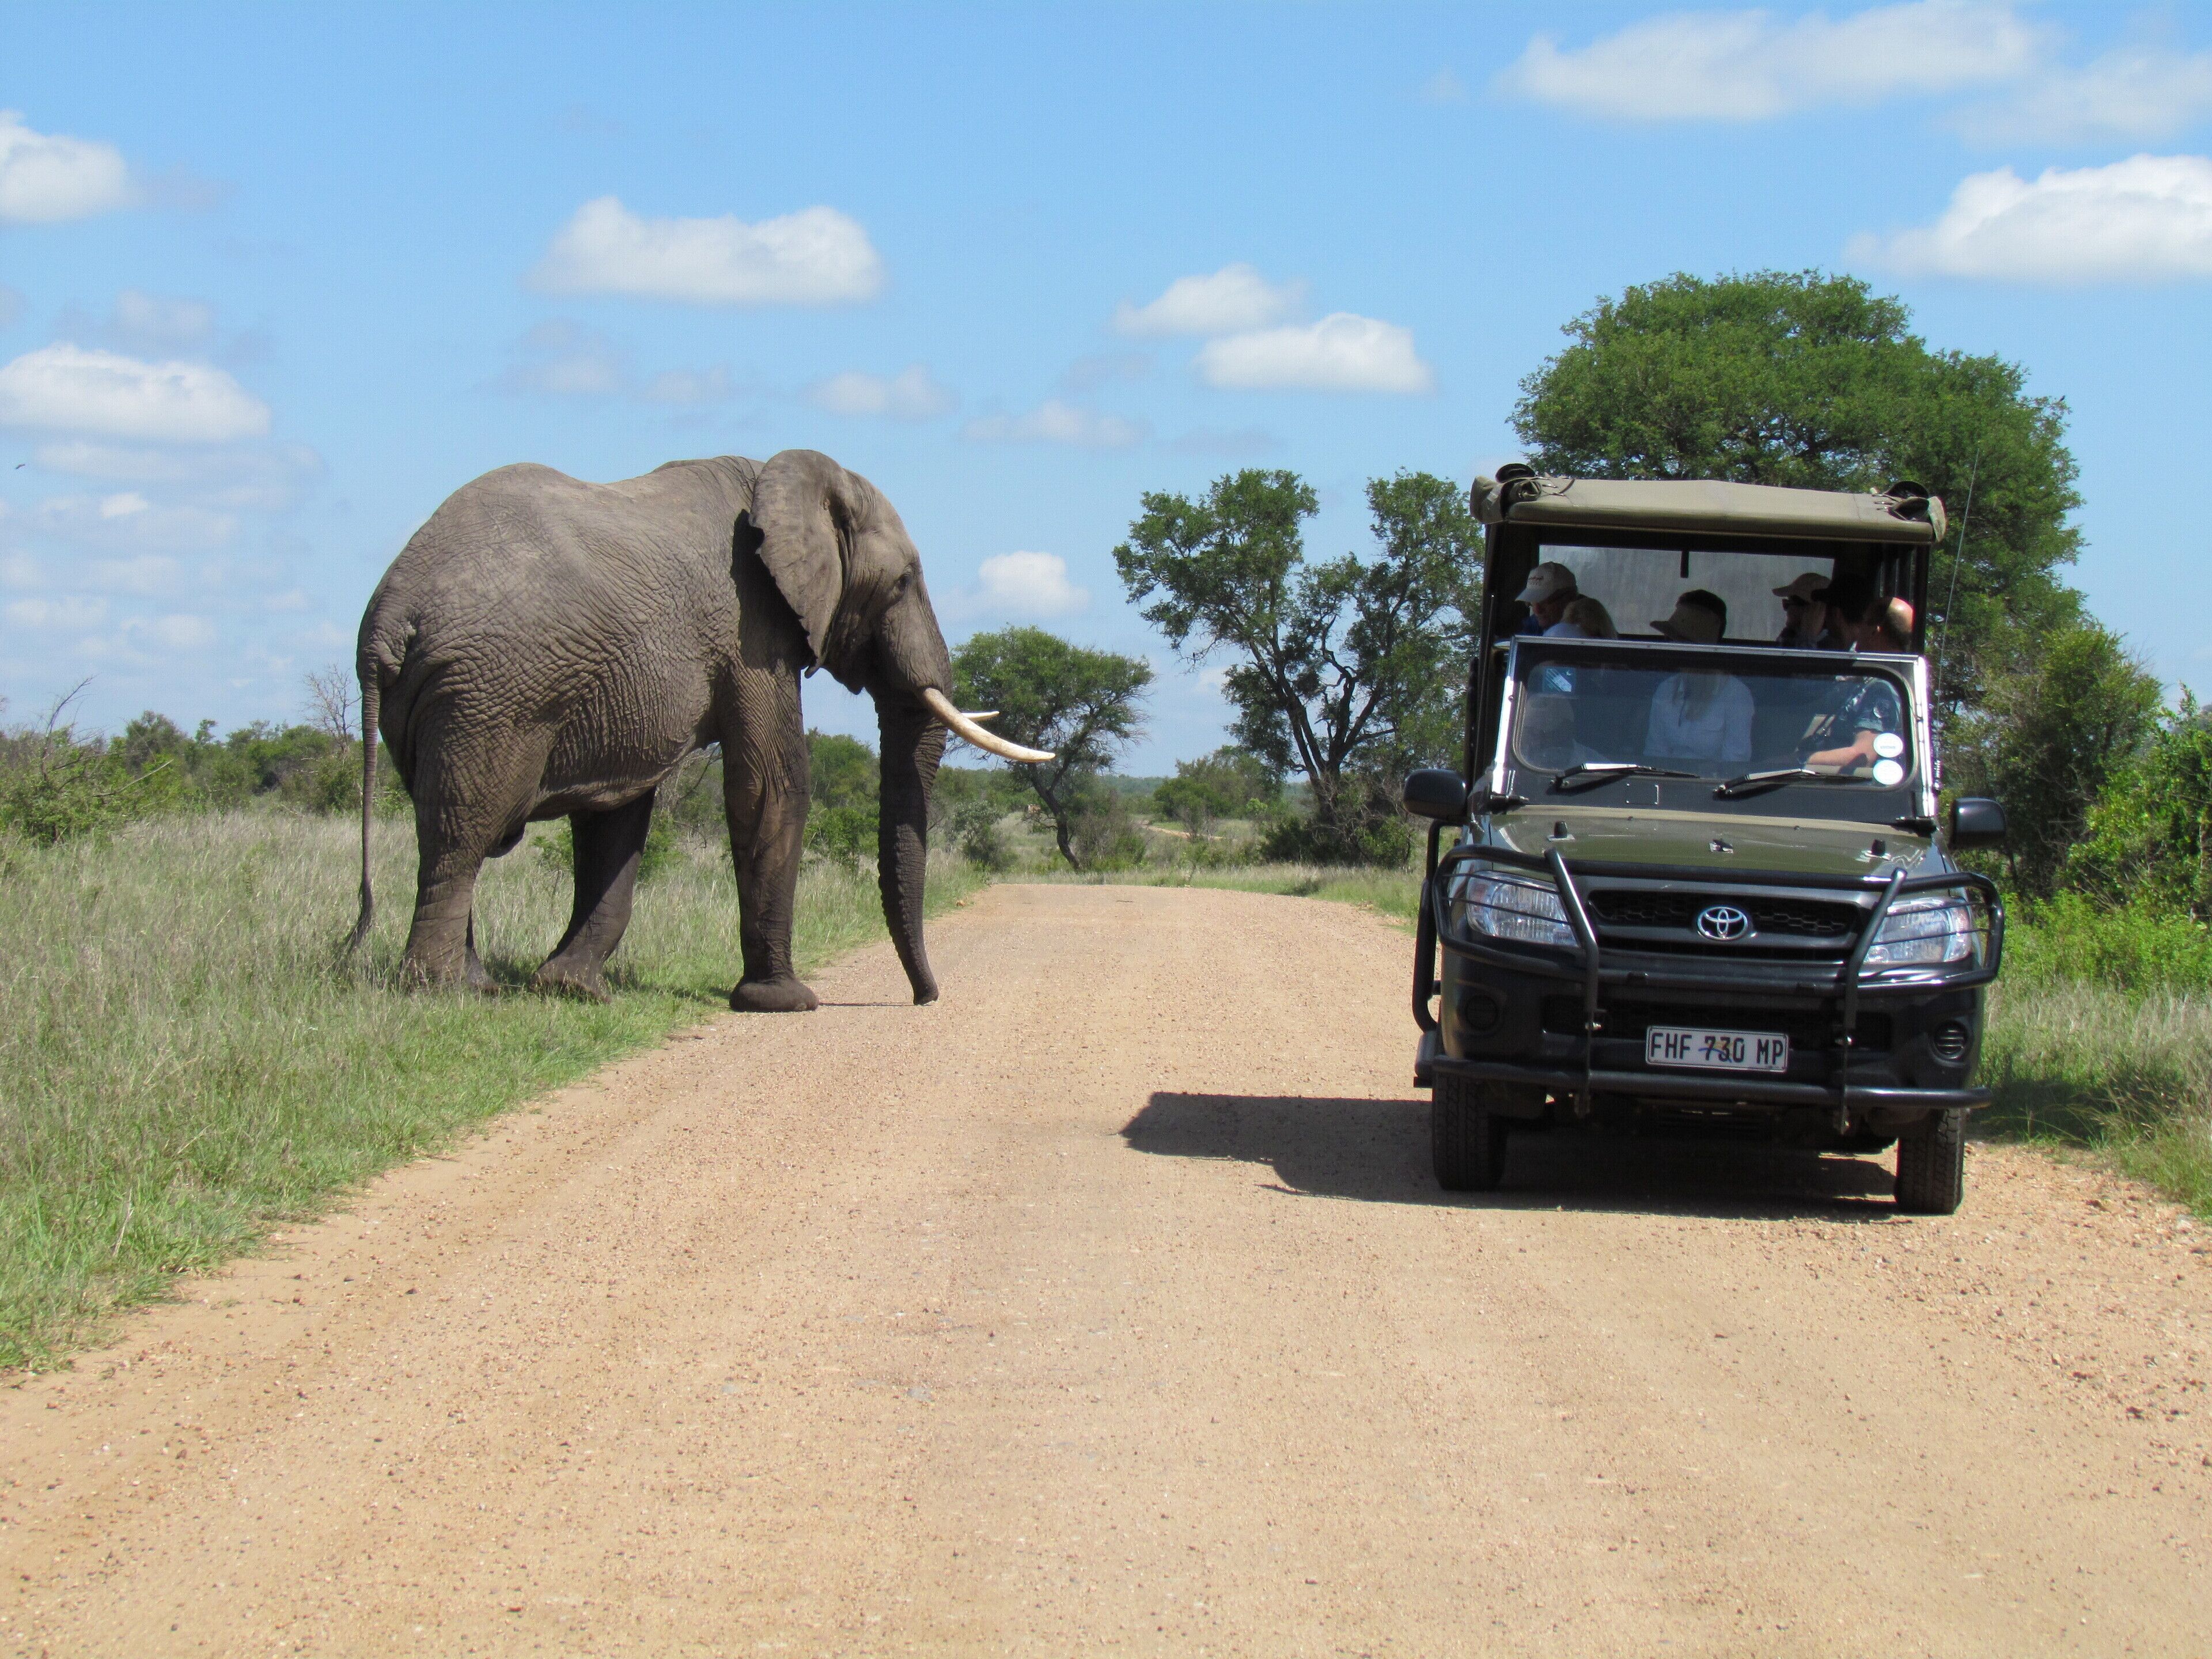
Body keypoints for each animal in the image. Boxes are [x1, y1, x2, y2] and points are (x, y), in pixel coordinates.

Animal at [348, 448, 1048, 1009]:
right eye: (902, 581)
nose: (926, 999)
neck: (786, 479)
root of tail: (388, 616)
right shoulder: (752, 625)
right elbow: (772, 786)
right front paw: (783, 1003)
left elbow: (617, 815)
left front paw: (573, 990)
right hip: (489, 696)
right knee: (464, 831)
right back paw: (443, 991)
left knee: (441, 827)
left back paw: (477, 983)